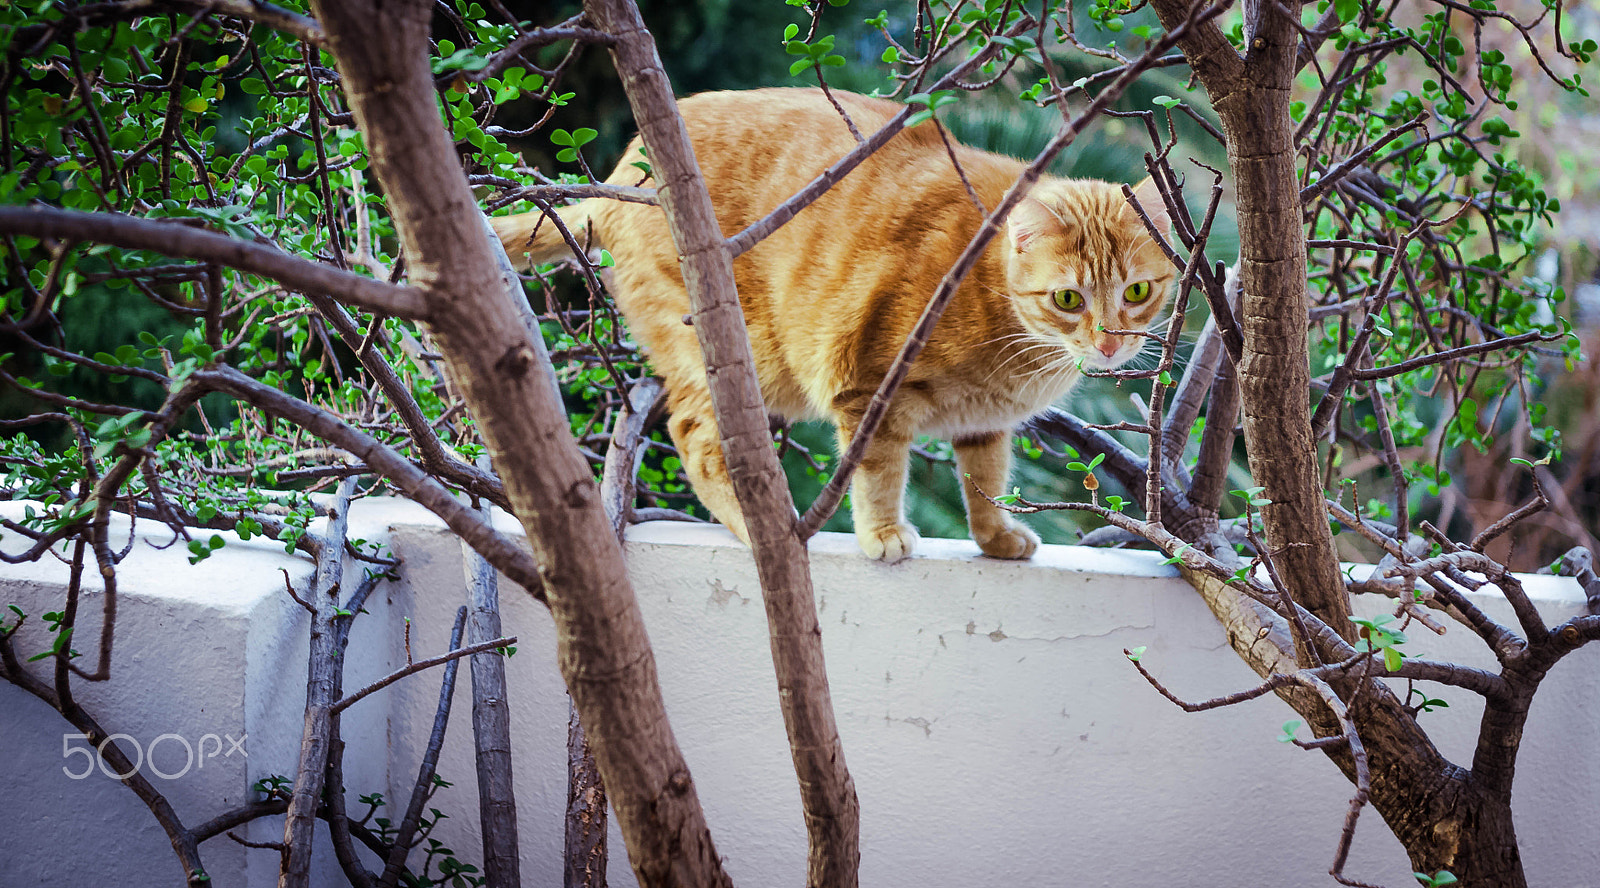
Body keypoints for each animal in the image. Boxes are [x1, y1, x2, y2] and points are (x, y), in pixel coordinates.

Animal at [496, 88, 1177, 563]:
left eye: (1137, 293)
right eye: (1068, 299)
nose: (1109, 344)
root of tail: (616, 176)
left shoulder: (984, 425)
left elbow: (984, 481)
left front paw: (995, 538)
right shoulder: (868, 387)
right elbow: (879, 475)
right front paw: (883, 534)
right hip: (726, 357)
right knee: (695, 438)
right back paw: (760, 528)